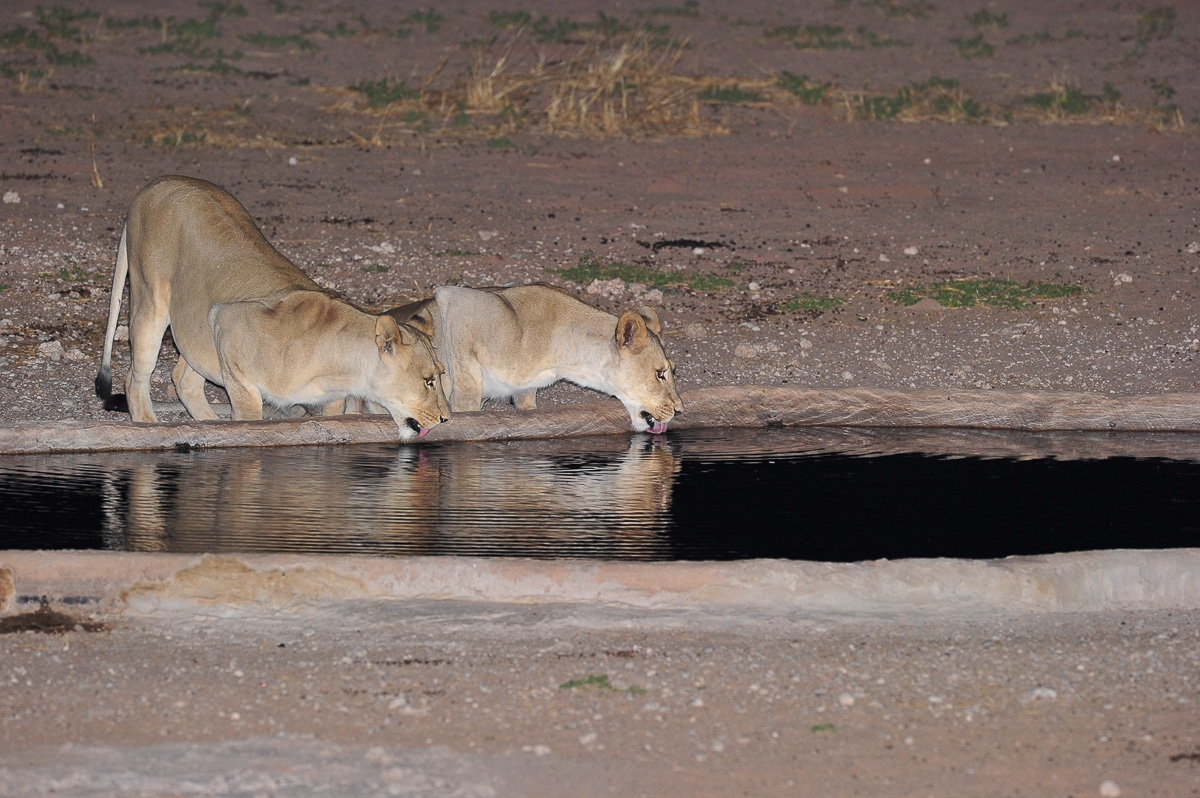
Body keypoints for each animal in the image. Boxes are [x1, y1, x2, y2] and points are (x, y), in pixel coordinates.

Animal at [94, 175, 450, 438]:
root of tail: (158, 181)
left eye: (440, 376)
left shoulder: (333, 399)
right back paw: (150, 426)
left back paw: (210, 424)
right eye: (428, 381)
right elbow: (250, 417)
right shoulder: (227, 323)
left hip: (196, 330)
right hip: (150, 300)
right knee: (135, 379)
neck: (343, 369)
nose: (447, 418)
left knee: (183, 378)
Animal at [364, 283, 683, 434]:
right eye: (660, 373)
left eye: (673, 371)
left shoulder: (527, 390)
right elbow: (467, 393)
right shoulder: (457, 303)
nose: (680, 410)